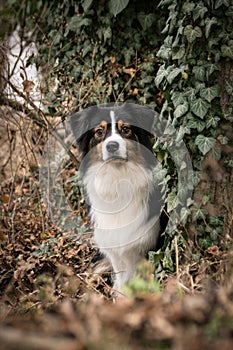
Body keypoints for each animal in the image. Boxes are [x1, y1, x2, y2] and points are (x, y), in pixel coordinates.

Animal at [70, 102, 167, 294]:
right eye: (99, 132)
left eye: (126, 129)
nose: (112, 146)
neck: (117, 178)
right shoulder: (113, 246)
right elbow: (121, 277)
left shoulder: (148, 242)